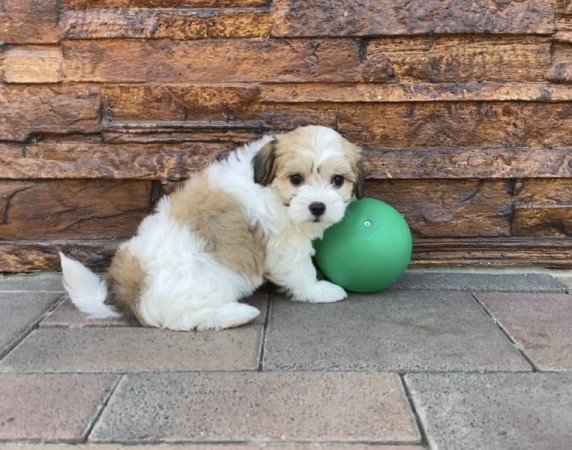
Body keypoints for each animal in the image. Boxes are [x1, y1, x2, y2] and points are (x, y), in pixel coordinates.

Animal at [60, 124, 364, 330]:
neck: (269, 190)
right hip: (198, 285)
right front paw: (319, 290)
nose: (318, 206)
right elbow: (301, 272)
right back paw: (241, 314)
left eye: (337, 180)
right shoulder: (283, 246)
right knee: (187, 317)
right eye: (296, 179)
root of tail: (130, 289)